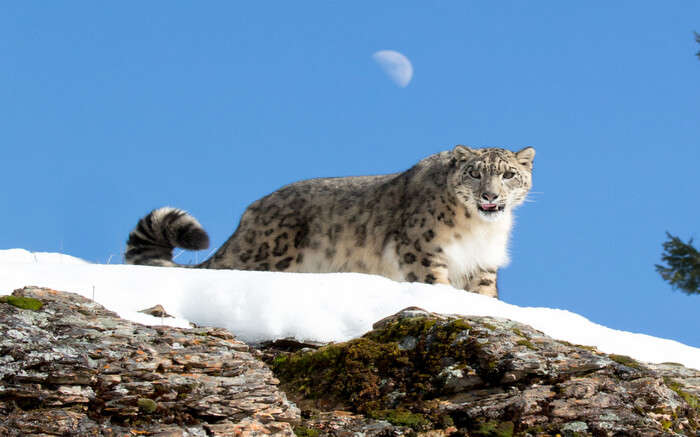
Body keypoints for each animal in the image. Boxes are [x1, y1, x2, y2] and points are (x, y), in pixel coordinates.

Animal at [124, 145, 536, 298]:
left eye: (508, 175)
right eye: (474, 173)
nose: (490, 196)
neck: (479, 230)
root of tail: (249, 214)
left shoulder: (483, 264)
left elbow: (485, 295)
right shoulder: (423, 250)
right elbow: (434, 283)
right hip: (268, 256)